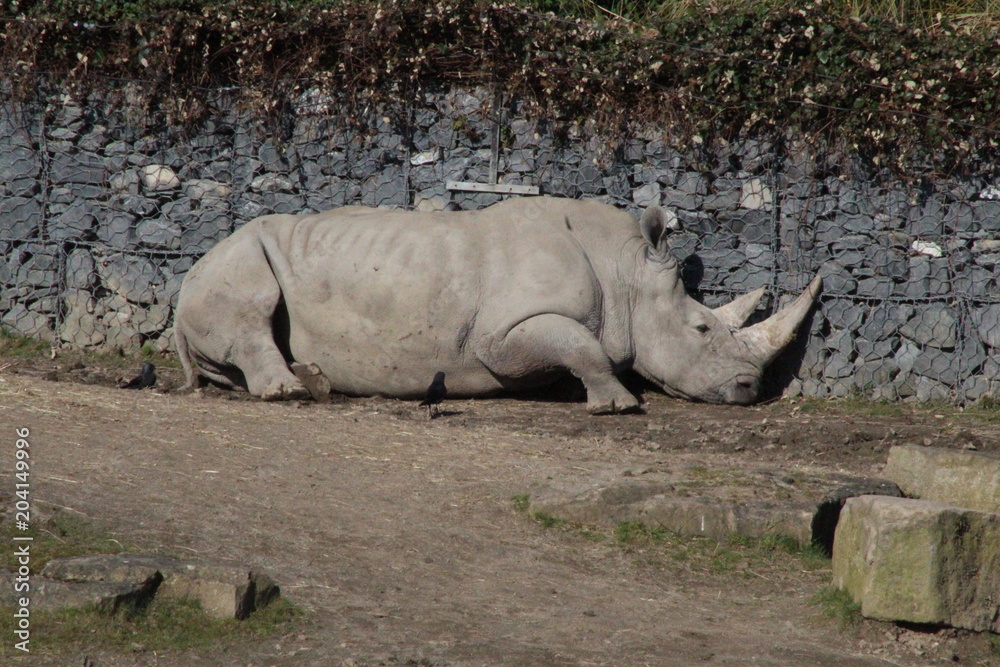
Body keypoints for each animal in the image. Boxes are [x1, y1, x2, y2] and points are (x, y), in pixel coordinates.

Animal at [174, 196, 821, 413]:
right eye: (701, 329)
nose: (750, 390)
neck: (625, 271)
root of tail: (184, 278)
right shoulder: (501, 334)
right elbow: (585, 346)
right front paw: (618, 405)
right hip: (230, 258)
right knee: (252, 305)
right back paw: (288, 393)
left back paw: (314, 381)